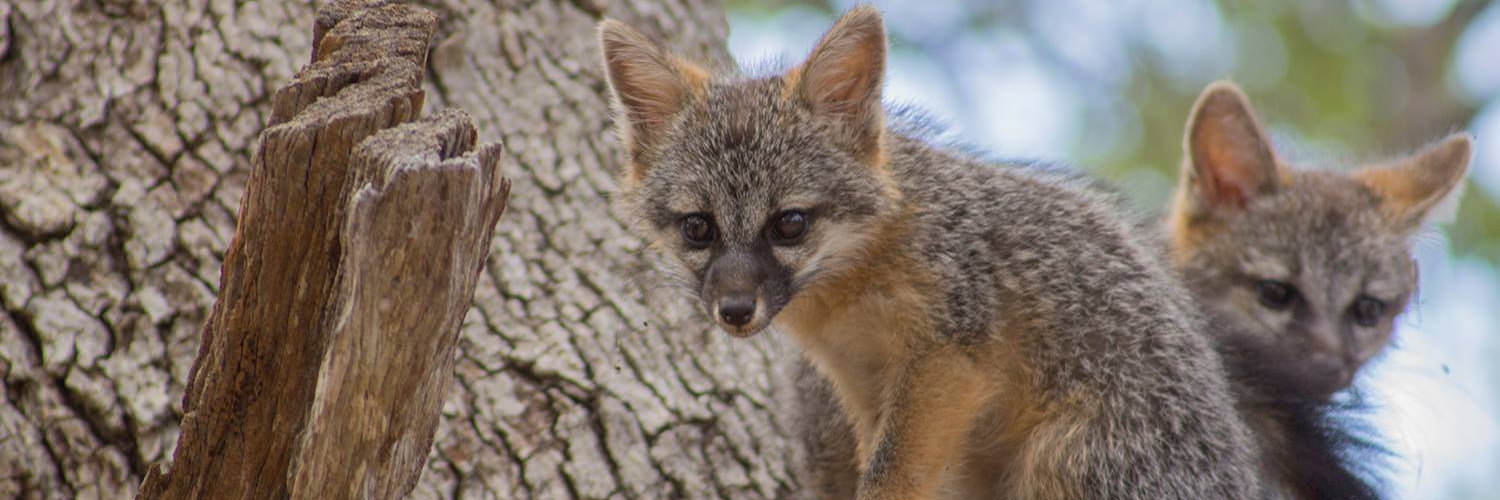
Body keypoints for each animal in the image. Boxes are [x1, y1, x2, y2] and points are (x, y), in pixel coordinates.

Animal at [594, 5, 1254, 495]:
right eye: (697, 228)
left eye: (790, 224)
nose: (734, 310)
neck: (852, 297)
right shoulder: (867, 391)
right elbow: (881, 464)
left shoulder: (948, 356)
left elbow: (890, 476)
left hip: (1062, 459)